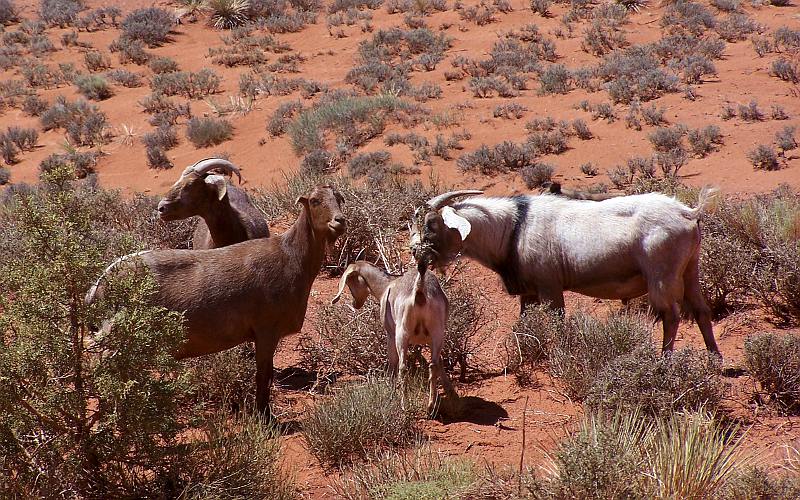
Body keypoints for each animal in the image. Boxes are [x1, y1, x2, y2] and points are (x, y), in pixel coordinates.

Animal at [89, 186, 346, 416]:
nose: (340, 221)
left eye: (339, 198)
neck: (290, 256)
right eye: (314, 201)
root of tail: (101, 282)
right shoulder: (266, 331)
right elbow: (263, 376)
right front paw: (265, 418)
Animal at [330, 260, 456, 412]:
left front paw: (389, 388)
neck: (386, 286)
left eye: (349, 282)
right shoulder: (432, 341)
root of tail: (420, 292)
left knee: (403, 367)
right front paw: (451, 393)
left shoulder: (390, 334)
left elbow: (392, 363)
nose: (355, 304)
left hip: (401, 334)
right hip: (437, 333)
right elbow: (441, 363)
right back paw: (431, 405)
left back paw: (404, 404)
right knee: (433, 365)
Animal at [416, 188, 720, 356]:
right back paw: (714, 359)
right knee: (701, 310)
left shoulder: (550, 288)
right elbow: (524, 325)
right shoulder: (529, 293)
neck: (513, 227)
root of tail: (688, 213)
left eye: (431, 224)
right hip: (691, 269)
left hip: (661, 277)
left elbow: (557, 324)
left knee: (671, 315)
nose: (416, 254)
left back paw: (665, 361)